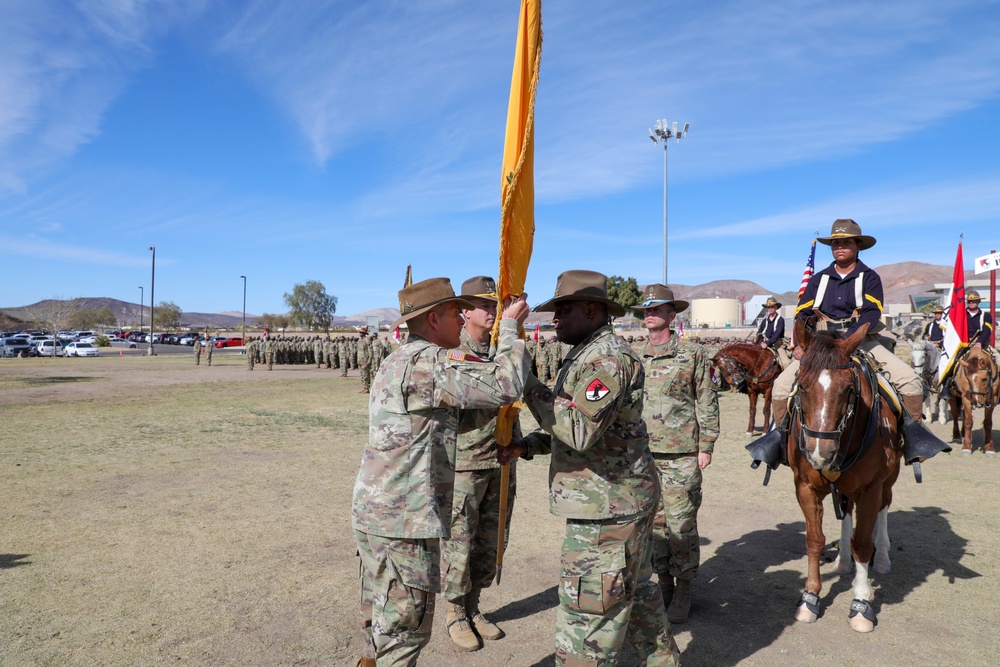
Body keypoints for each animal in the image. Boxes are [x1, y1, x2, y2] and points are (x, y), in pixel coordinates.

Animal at [784, 320, 904, 636]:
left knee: (885, 507)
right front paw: (810, 598)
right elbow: (814, 540)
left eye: (849, 389)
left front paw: (861, 604)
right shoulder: (805, 487)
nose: (819, 452)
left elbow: (862, 543)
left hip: (889, 480)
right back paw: (841, 561)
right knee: (847, 511)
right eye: (802, 385)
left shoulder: (871, 488)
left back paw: (883, 558)